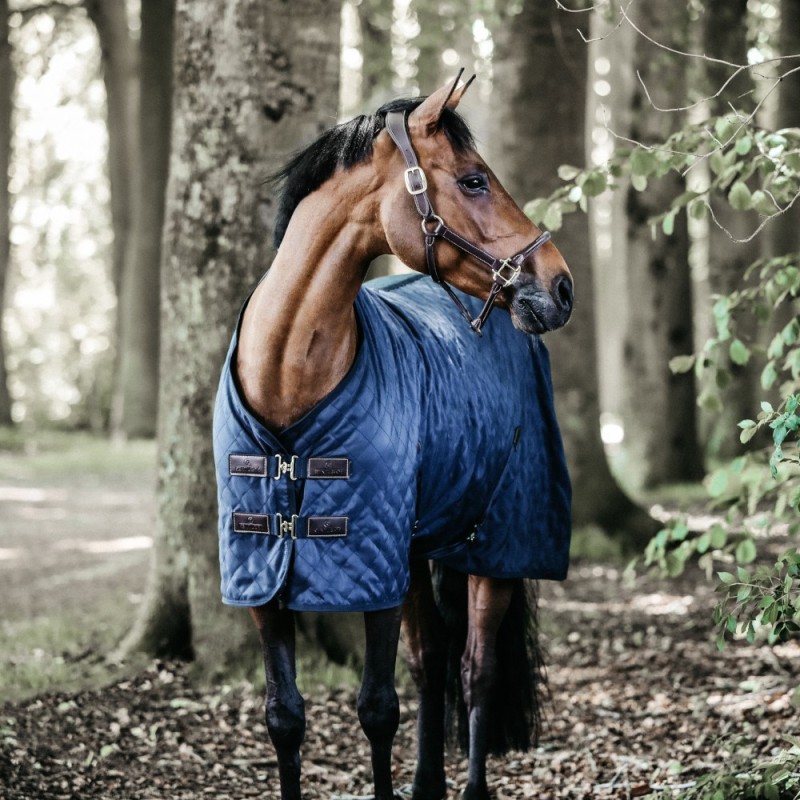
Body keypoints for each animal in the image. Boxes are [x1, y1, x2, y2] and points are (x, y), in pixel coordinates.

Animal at [212, 75, 576, 800]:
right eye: (472, 180)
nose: (560, 285)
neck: (288, 382)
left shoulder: (371, 566)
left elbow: (377, 709)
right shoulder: (262, 572)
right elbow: (284, 717)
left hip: (494, 546)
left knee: (475, 669)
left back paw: (470, 788)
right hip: (415, 547)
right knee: (432, 658)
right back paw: (427, 784)